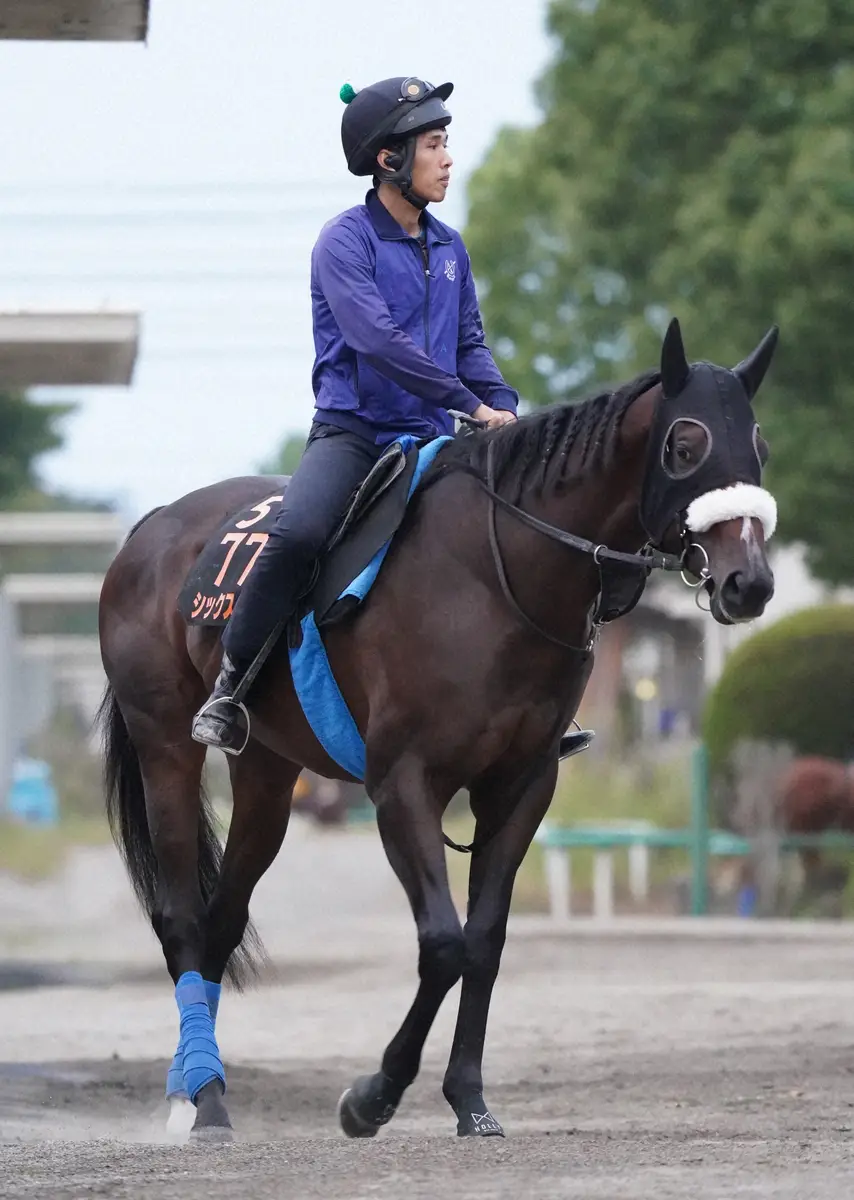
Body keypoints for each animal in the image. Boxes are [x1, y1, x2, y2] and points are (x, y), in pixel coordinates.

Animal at [98, 319, 782, 1142]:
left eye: (759, 444)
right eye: (685, 444)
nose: (750, 582)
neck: (493, 573)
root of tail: (151, 527)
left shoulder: (521, 786)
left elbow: (483, 943)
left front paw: (469, 1100)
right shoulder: (403, 786)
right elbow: (444, 942)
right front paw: (373, 1096)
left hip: (266, 772)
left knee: (223, 919)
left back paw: (194, 1089)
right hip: (166, 746)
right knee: (181, 920)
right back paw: (204, 1101)